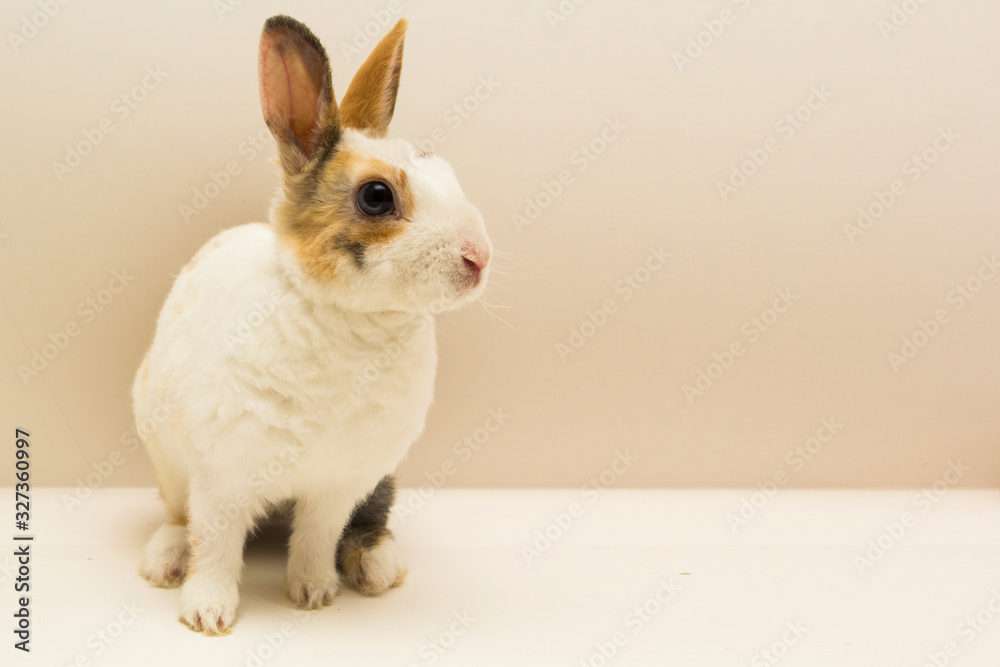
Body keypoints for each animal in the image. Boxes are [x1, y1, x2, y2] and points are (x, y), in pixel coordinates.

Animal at [132, 15, 491, 635]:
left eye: (447, 172)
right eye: (377, 196)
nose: (480, 258)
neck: (350, 320)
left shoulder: (338, 484)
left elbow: (317, 538)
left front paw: (313, 593)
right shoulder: (223, 476)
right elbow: (217, 546)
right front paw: (208, 615)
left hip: (378, 480)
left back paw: (378, 566)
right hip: (169, 462)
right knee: (181, 517)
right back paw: (166, 560)